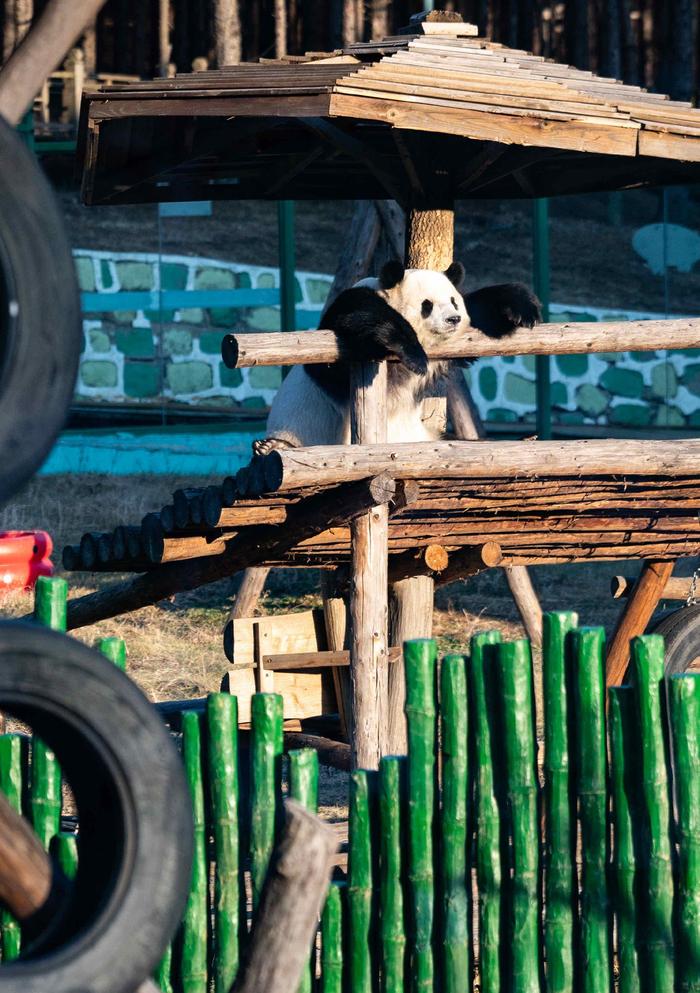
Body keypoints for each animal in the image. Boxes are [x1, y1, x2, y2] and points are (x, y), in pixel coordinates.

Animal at [253, 260, 540, 454]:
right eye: (427, 305)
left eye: (453, 301)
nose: (453, 319)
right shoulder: (350, 310)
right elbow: (362, 317)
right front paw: (414, 355)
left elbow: (478, 308)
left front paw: (521, 308)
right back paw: (271, 447)